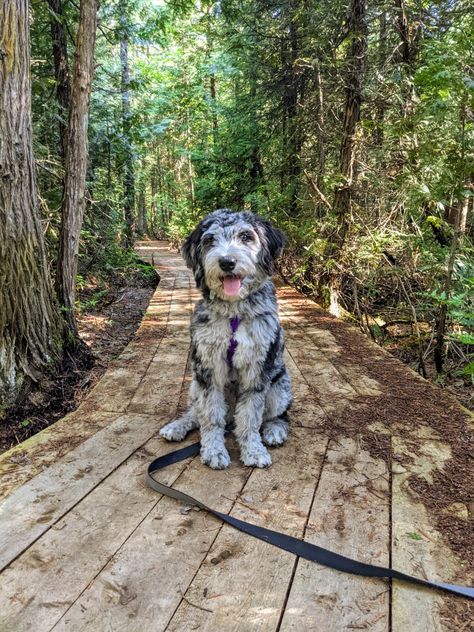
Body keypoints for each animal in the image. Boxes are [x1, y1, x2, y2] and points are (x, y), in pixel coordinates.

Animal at [160, 209, 292, 470]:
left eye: (246, 236)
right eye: (210, 240)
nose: (227, 262)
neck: (234, 313)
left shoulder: (256, 368)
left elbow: (251, 416)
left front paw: (253, 450)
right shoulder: (207, 368)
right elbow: (210, 416)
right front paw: (214, 450)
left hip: (279, 387)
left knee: (278, 415)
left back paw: (274, 430)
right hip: (194, 384)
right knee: (196, 413)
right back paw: (178, 426)